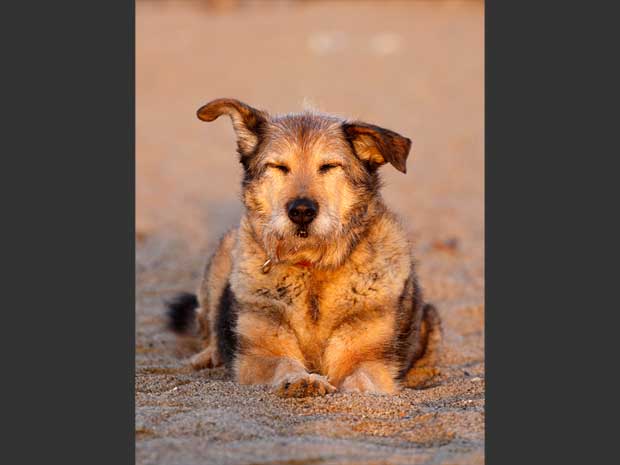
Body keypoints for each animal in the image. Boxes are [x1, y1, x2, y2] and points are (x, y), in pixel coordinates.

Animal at [167, 97, 440, 396]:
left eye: (329, 166)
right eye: (278, 166)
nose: (301, 212)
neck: (313, 267)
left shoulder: (371, 359)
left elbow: (361, 380)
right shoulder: (258, 354)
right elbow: (283, 362)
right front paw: (301, 381)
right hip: (223, 255)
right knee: (209, 325)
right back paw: (205, 357)